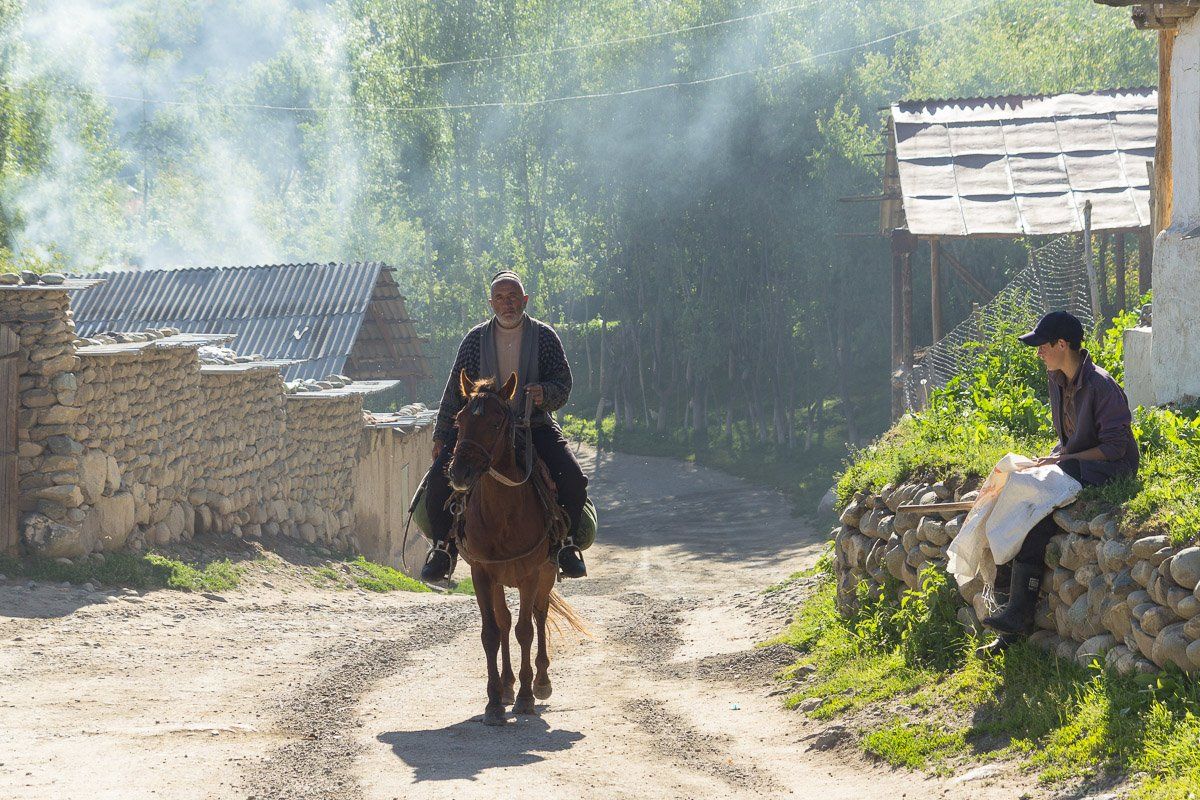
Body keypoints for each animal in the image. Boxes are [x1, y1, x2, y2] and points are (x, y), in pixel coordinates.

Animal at [446, 369, 585, 724]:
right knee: (504, 621)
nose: (460, 472)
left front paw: (526, 697)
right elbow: (491, 632)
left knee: (538, 615)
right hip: (499, 581)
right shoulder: (482, 574)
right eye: (460, 419)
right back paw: (507, 685)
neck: (503, 515)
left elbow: (525, 631)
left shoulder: (529, 575)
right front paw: (495, 702)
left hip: (546, 575)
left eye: (496, 423)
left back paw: (540, 682)